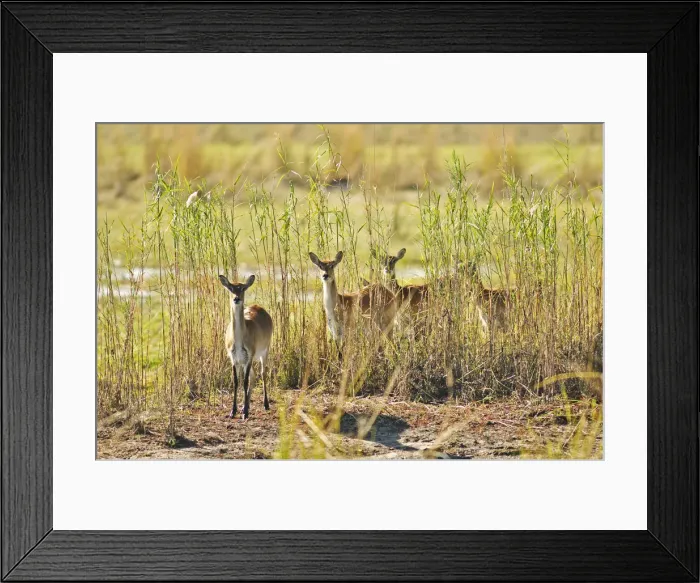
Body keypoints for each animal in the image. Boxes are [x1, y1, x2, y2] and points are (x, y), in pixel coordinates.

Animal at [218, 274, 273, 420]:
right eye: (231, 288)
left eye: (242, 288)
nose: (236, 298)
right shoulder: (234, 358)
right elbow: (237, 382)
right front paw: (233, 411)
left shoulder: (249, 356)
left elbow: (245, 382)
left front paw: (245, 413)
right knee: (253, 377)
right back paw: (245, 406)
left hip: (264, 352)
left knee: (263, 373)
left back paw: (265, 405)